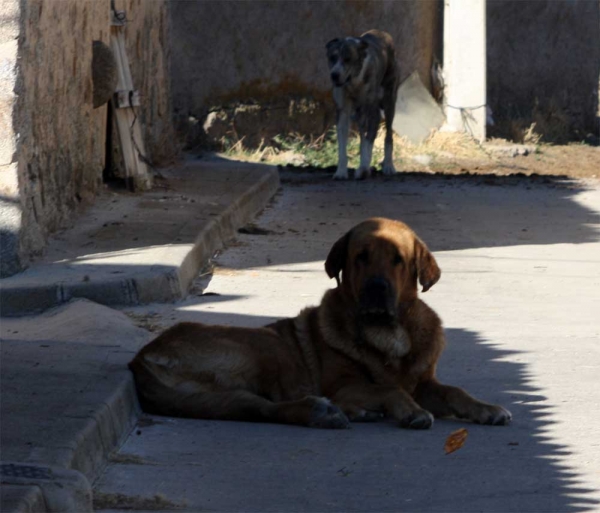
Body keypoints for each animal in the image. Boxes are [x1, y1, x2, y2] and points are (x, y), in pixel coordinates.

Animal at [130, 219, 510, 428]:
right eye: (361, 258)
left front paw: (486, 409)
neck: (390, 334)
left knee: (252, 407)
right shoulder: (344, 385)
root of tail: (139, 359)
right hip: (268, 346)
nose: (376, 288)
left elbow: (454, 391)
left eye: (398, 260)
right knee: (268, 406)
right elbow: (390, 389)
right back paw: (322, 413)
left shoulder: (425, 382)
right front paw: (410, 412)